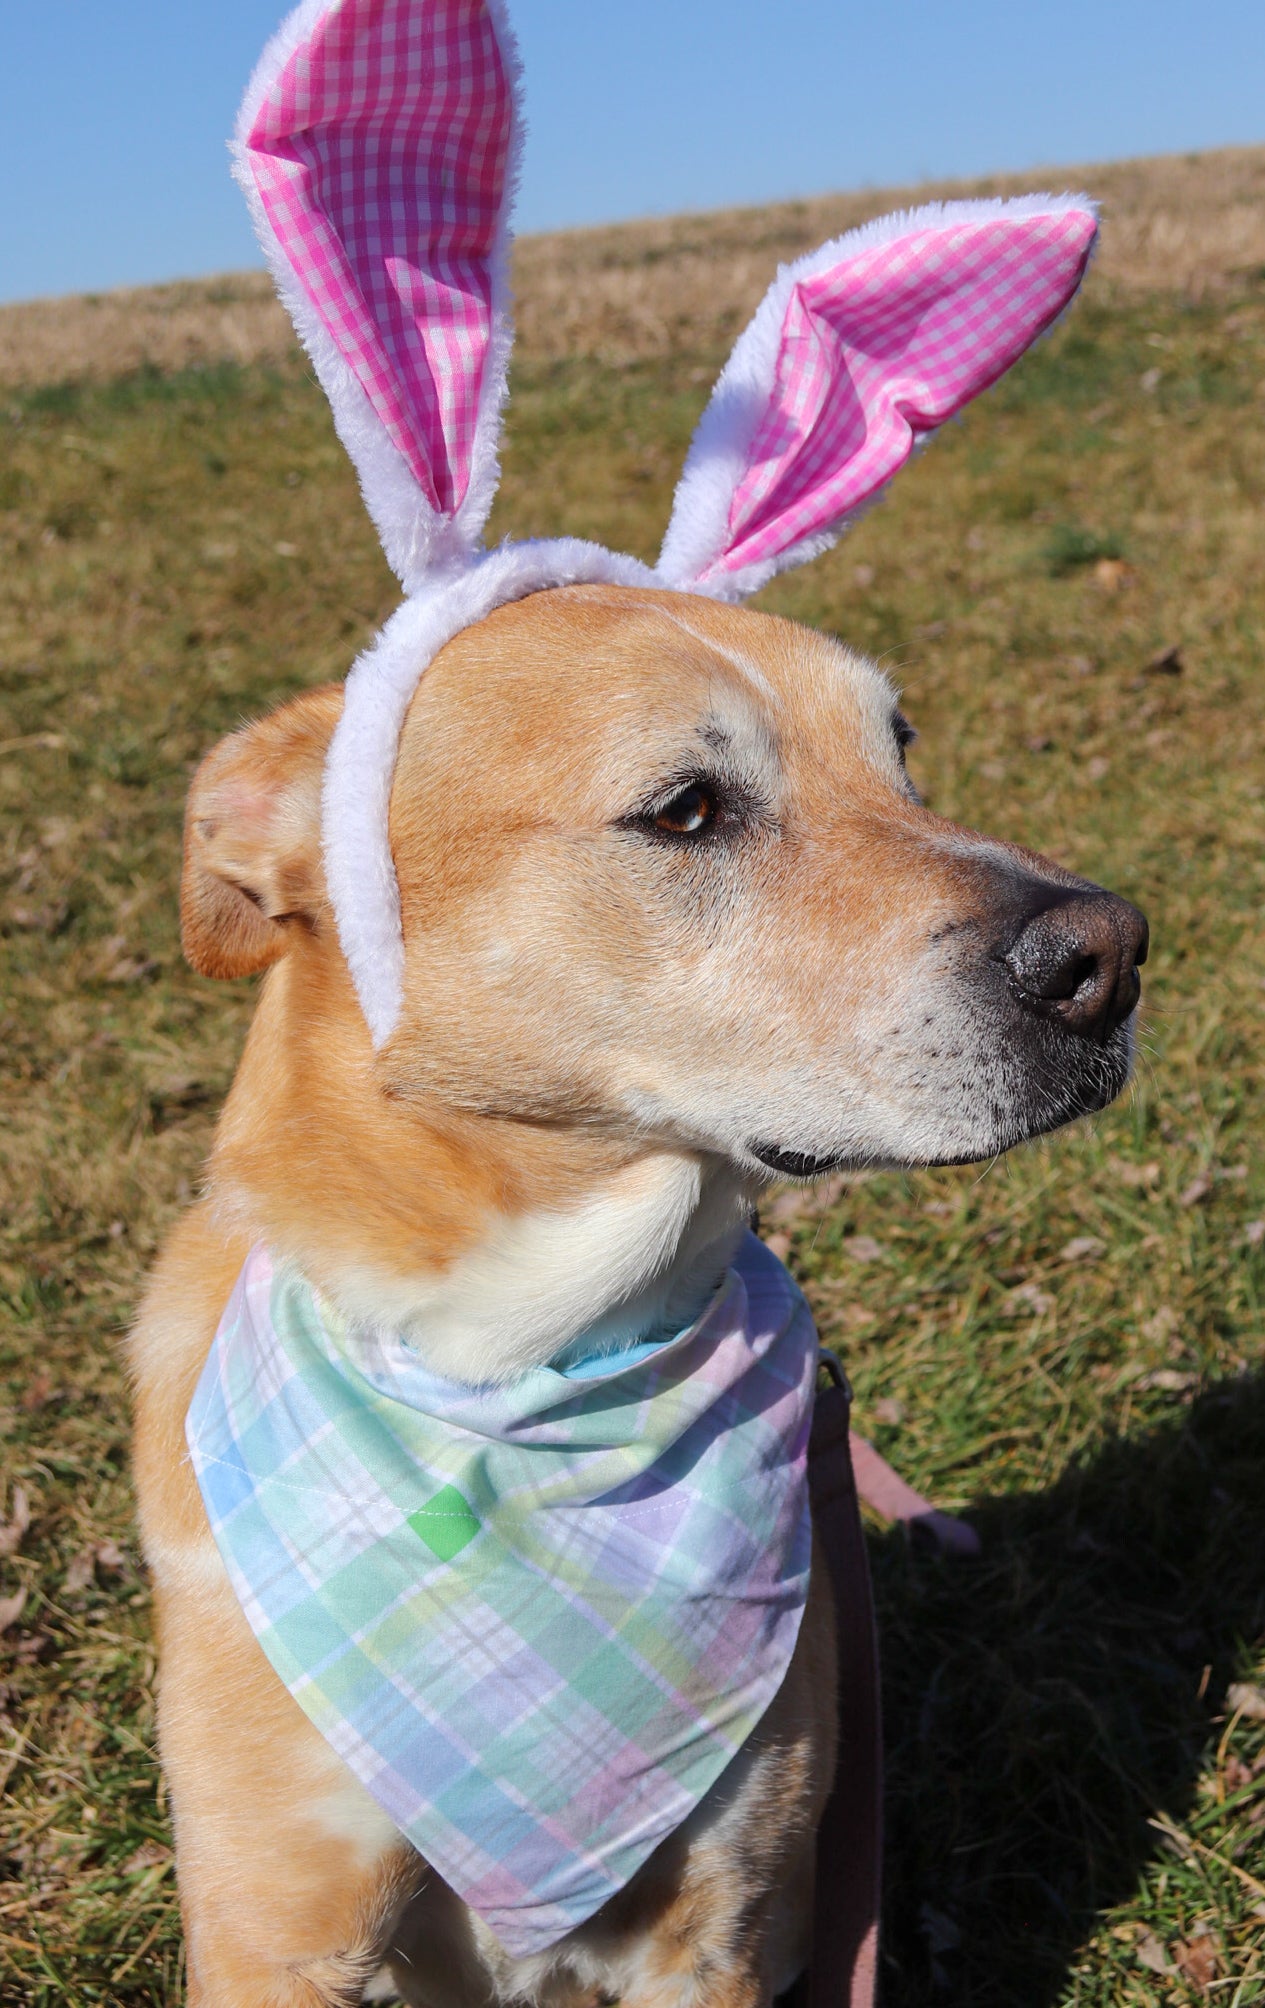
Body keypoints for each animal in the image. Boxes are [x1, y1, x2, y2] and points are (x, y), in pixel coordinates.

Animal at [126, 3, 1148, 1991]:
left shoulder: (728, 1917)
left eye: (901, 747)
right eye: (685, 809)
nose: (1110, 953)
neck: (529, 1368)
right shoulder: (280, 1922)